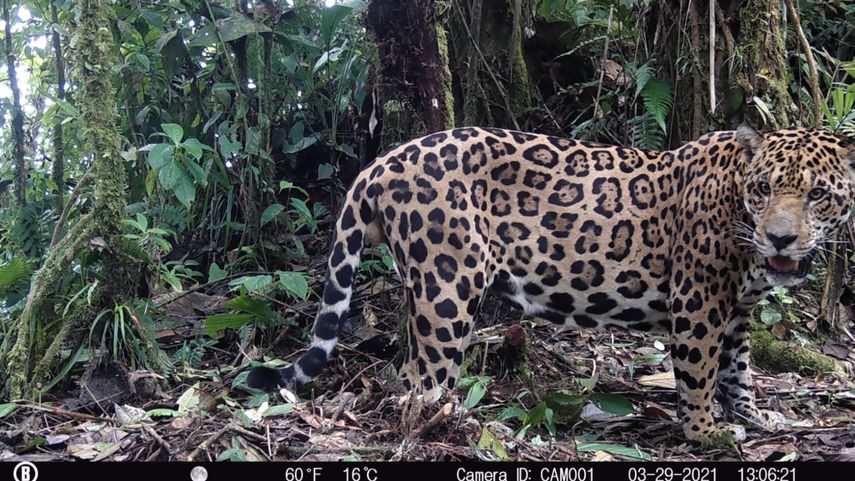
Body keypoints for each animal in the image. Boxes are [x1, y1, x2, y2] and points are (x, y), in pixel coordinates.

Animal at [248, 124, 855, 443]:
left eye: (817, 195)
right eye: (763, 189)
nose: (780, 239)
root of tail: (383, 161)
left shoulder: (738, 310)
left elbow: (739, 370)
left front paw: (754, 416)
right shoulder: (700, 300)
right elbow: (701, 372)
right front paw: (707, 433)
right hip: (448, 284)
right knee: (420, 378)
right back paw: (450, 426)